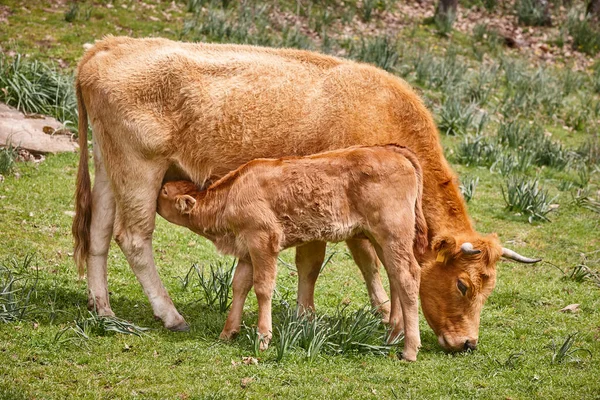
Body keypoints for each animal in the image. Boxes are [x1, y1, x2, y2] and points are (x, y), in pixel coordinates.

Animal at [155, 145, 426, 362]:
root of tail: (391, 151)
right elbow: (239, 285)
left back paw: (409, 350)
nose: (155, 195)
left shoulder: (263, 242)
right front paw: (228, 332)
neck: (232, 194)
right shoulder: (246, 250)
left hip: (393, 235)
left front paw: (263, 338)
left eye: (165, 192)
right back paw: (393, 335)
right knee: (394, 276)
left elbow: (263, 288)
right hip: (381, 239)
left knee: (407, 277)